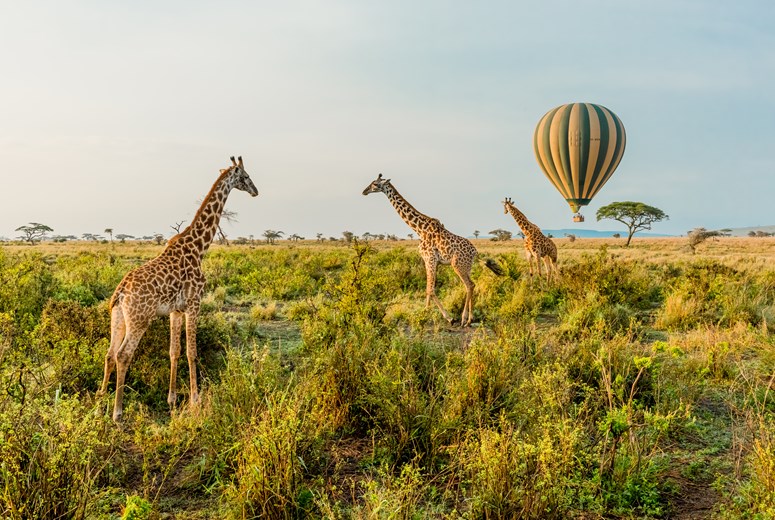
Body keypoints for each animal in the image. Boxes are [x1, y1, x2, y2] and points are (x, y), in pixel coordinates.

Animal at [97, 156, 258, 421]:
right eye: (245, 176)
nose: (256, 191)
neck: (199, 248)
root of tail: (120, 293)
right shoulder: (194, 304)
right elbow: (192, 352)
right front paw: (195, 400)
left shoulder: (175, 310)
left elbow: (174, 351)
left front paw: (171, 399)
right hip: (140, 319)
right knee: (123, 355)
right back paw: (117, 413)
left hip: (118, 316)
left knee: (110, 353)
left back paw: (101, 397)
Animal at [363, 174, 502, 326]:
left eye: (375, 184)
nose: (364, 191)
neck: (419, 229)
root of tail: (475, 252)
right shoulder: (431, 261)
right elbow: (428, 289)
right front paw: (425, 312)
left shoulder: (430, 259)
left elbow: (431, 289)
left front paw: (448, 317)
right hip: (467, 266)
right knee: (471, 285)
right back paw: (470, 319)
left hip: (457, 265)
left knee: (470, 285)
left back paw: (464, 319)